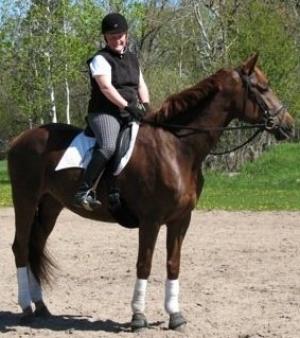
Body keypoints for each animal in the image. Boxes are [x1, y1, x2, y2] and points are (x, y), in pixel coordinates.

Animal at [7, 54, 296, 332]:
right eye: (263, 87)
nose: (289, 126)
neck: (177, 147)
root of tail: (19, 139)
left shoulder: (180, 220)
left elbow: (173, 264)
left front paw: (175, 315)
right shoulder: (151, 220)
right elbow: (144, 264)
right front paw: (138, 316)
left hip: (50, 205)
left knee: (35, 245)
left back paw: (41, 306)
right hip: (25, 200)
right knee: (20, 247)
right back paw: (27, 308)